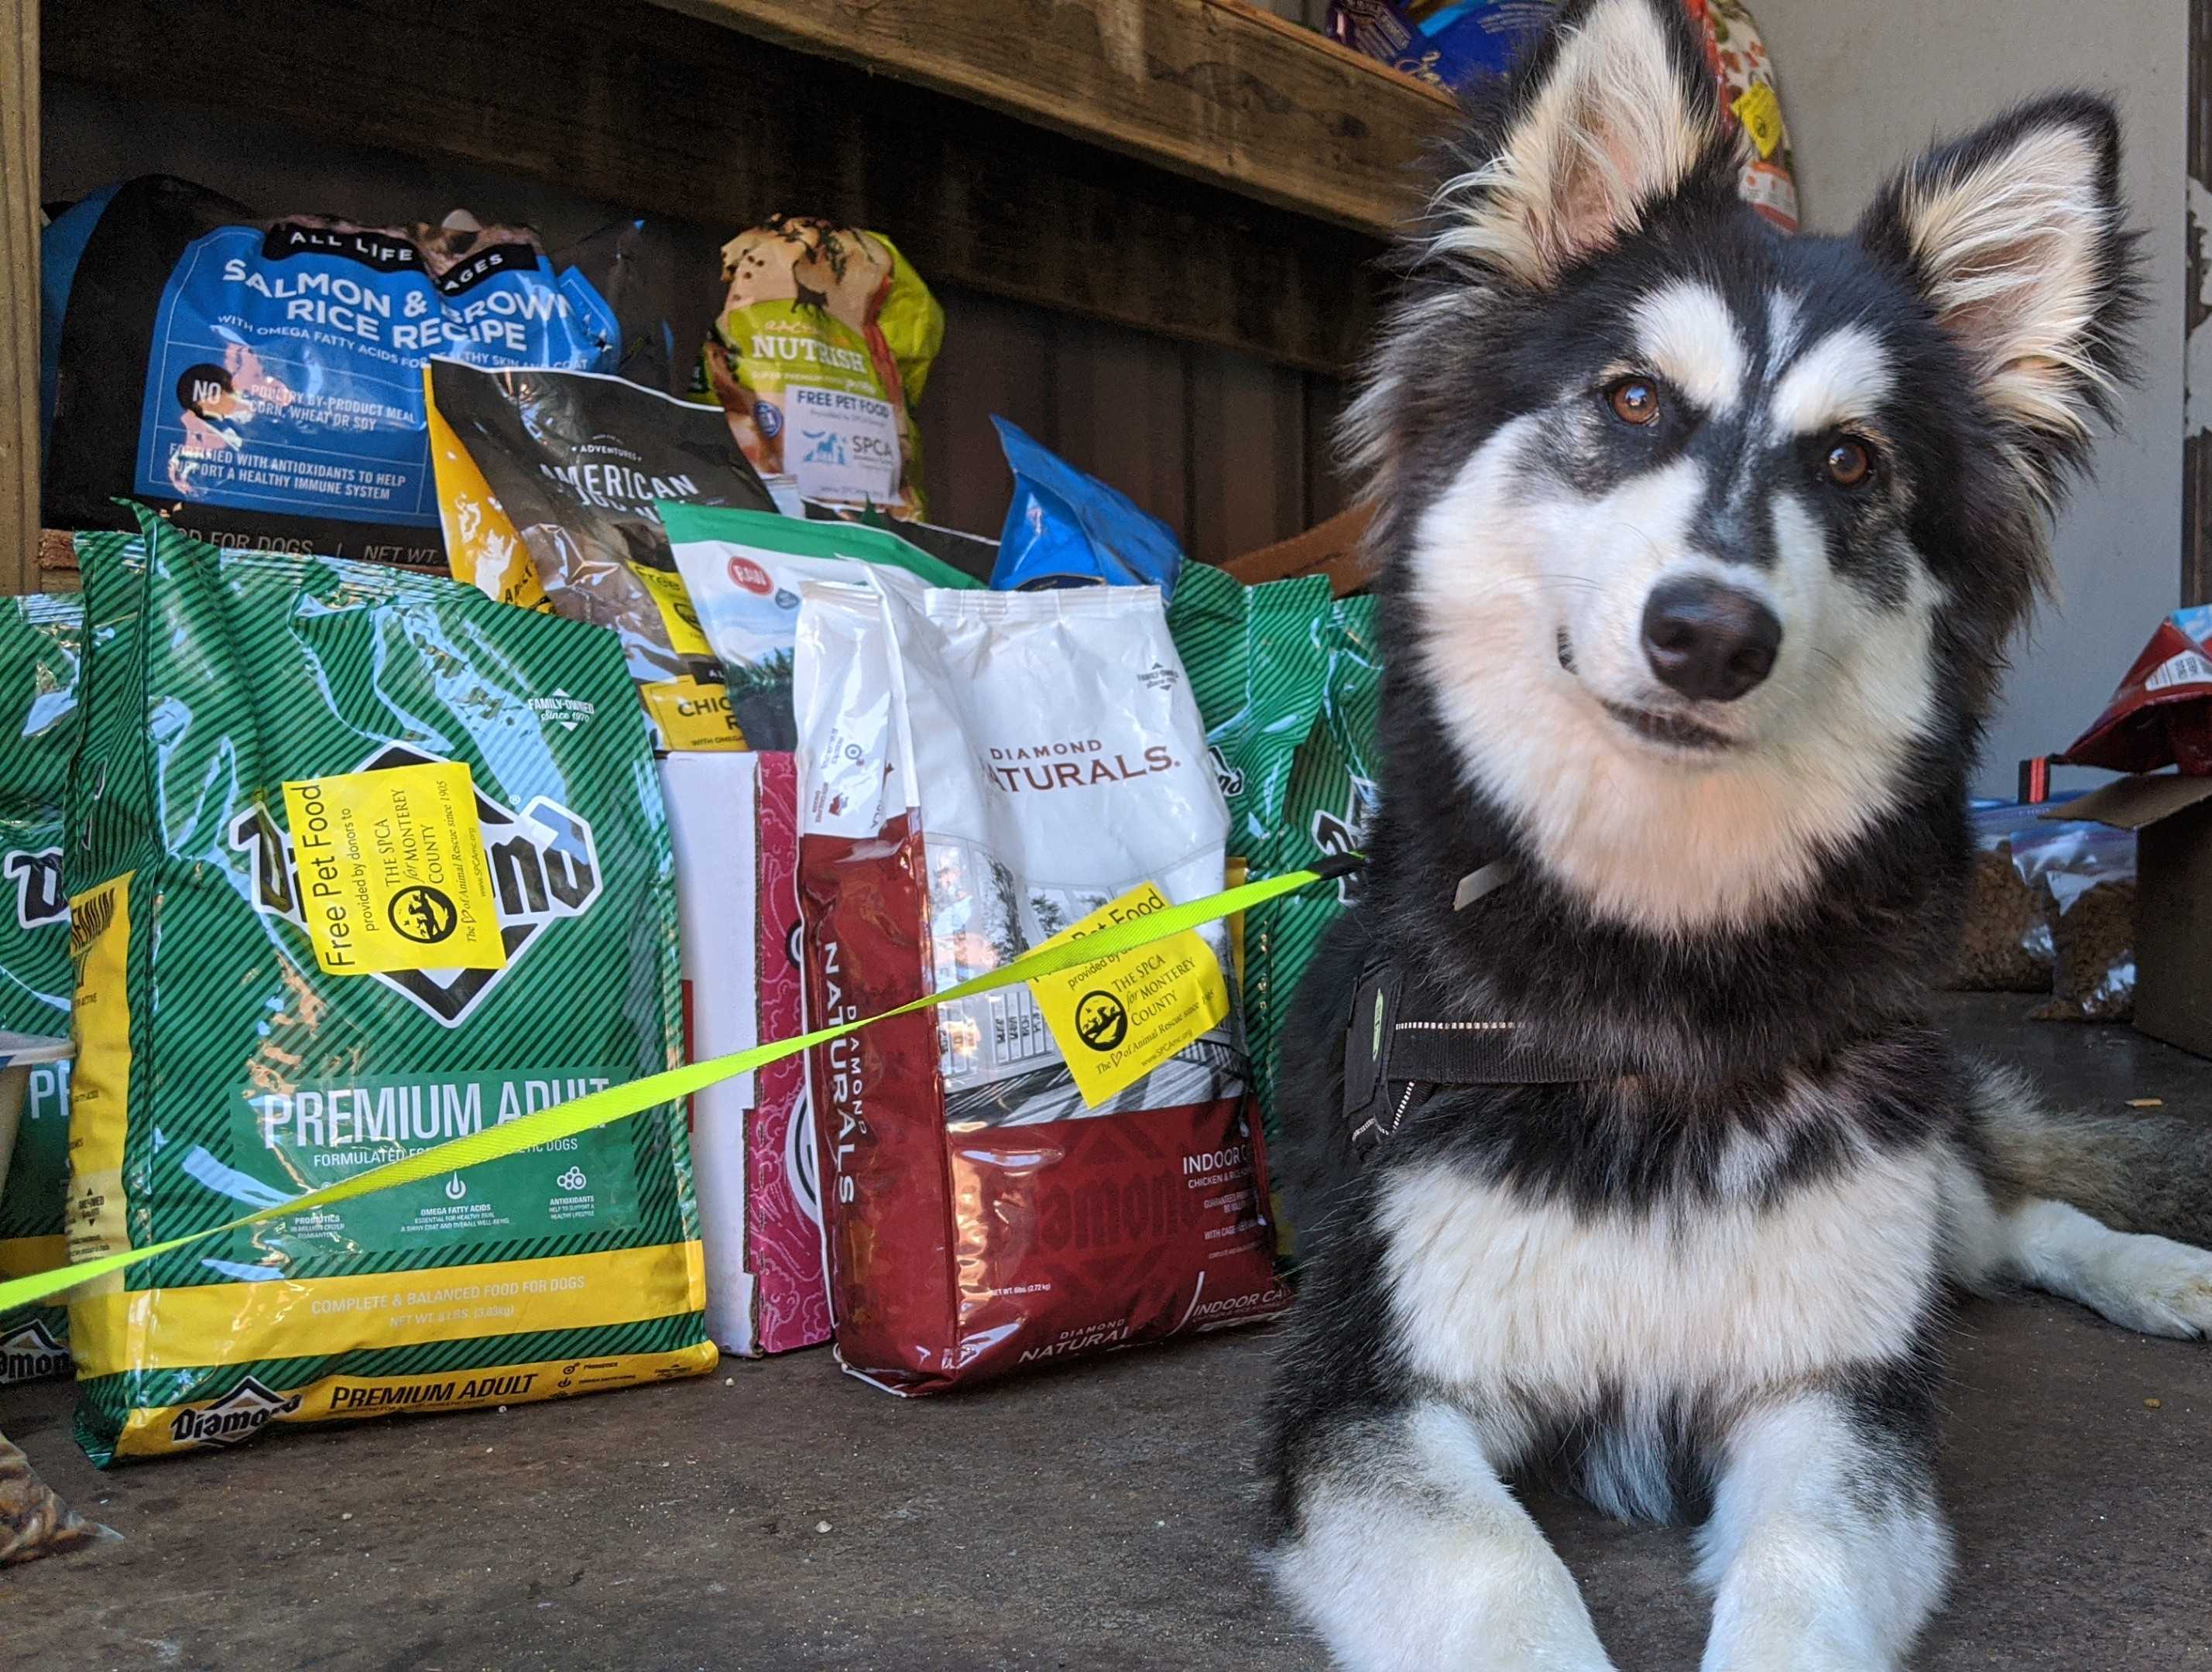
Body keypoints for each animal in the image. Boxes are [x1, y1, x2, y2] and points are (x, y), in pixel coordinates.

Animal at [1265, 6, 2212, 1663]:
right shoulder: (1367, 1384)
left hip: (1910, 1176)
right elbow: (1495, 1578)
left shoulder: (1831, 1391)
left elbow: (1807, 1575)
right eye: (1635, 400)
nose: (1709, 634)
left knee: (2008, 1222)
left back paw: (2159, 1274)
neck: (1658, 965)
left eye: (1849, 463)